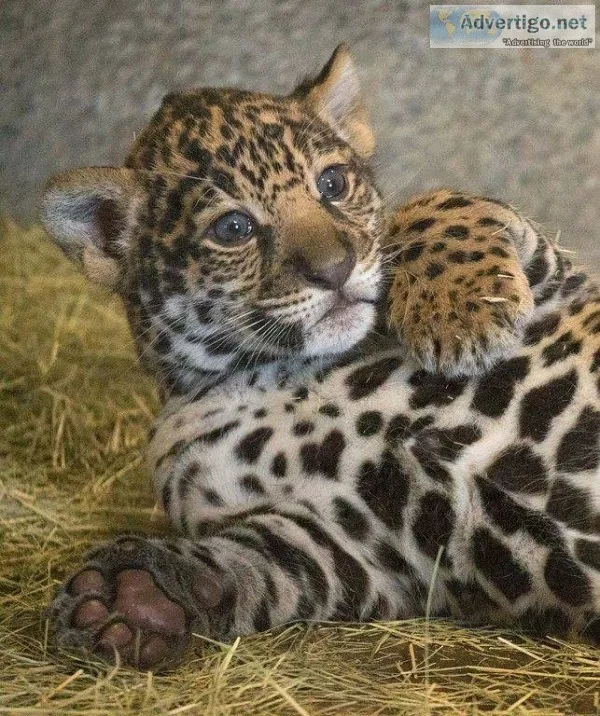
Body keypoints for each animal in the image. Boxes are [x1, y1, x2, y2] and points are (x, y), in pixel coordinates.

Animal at [40, 44, 600, 671]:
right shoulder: (349, 549)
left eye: (333, 183)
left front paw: (461, 314)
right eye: (233, 228)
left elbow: (433, 203)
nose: (334, 269)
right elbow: (254, 565)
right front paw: (139, 597)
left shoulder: (560, 285)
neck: (286, 369)